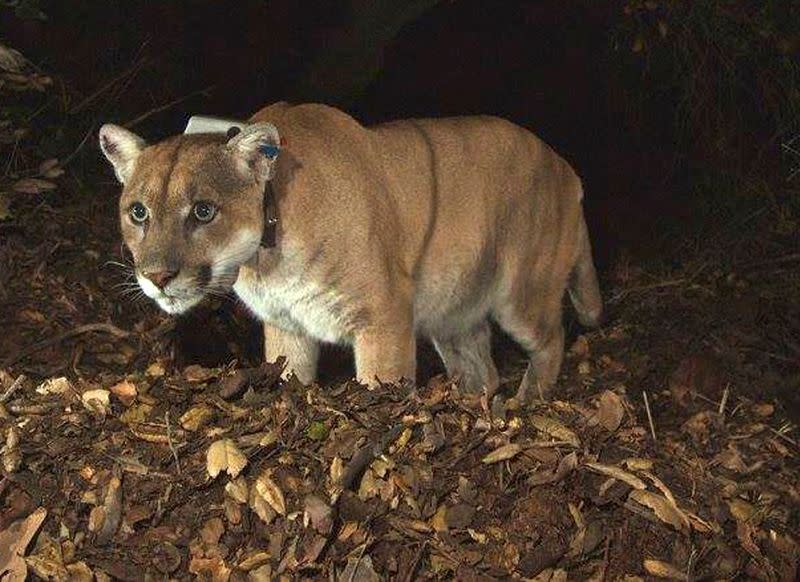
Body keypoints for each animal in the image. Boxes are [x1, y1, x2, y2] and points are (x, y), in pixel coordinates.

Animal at [100, 102, 600, 402]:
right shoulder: (287, 326)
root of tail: (567, 168)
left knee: (552, 340)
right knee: (482, 371)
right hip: (452, 311)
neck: (267, 257)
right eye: (138, 212)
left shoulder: (383, 316)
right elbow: (290, 377)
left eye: (203, 211)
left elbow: (383, 381)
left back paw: (527, 403)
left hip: (522, 293)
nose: (157, 277)